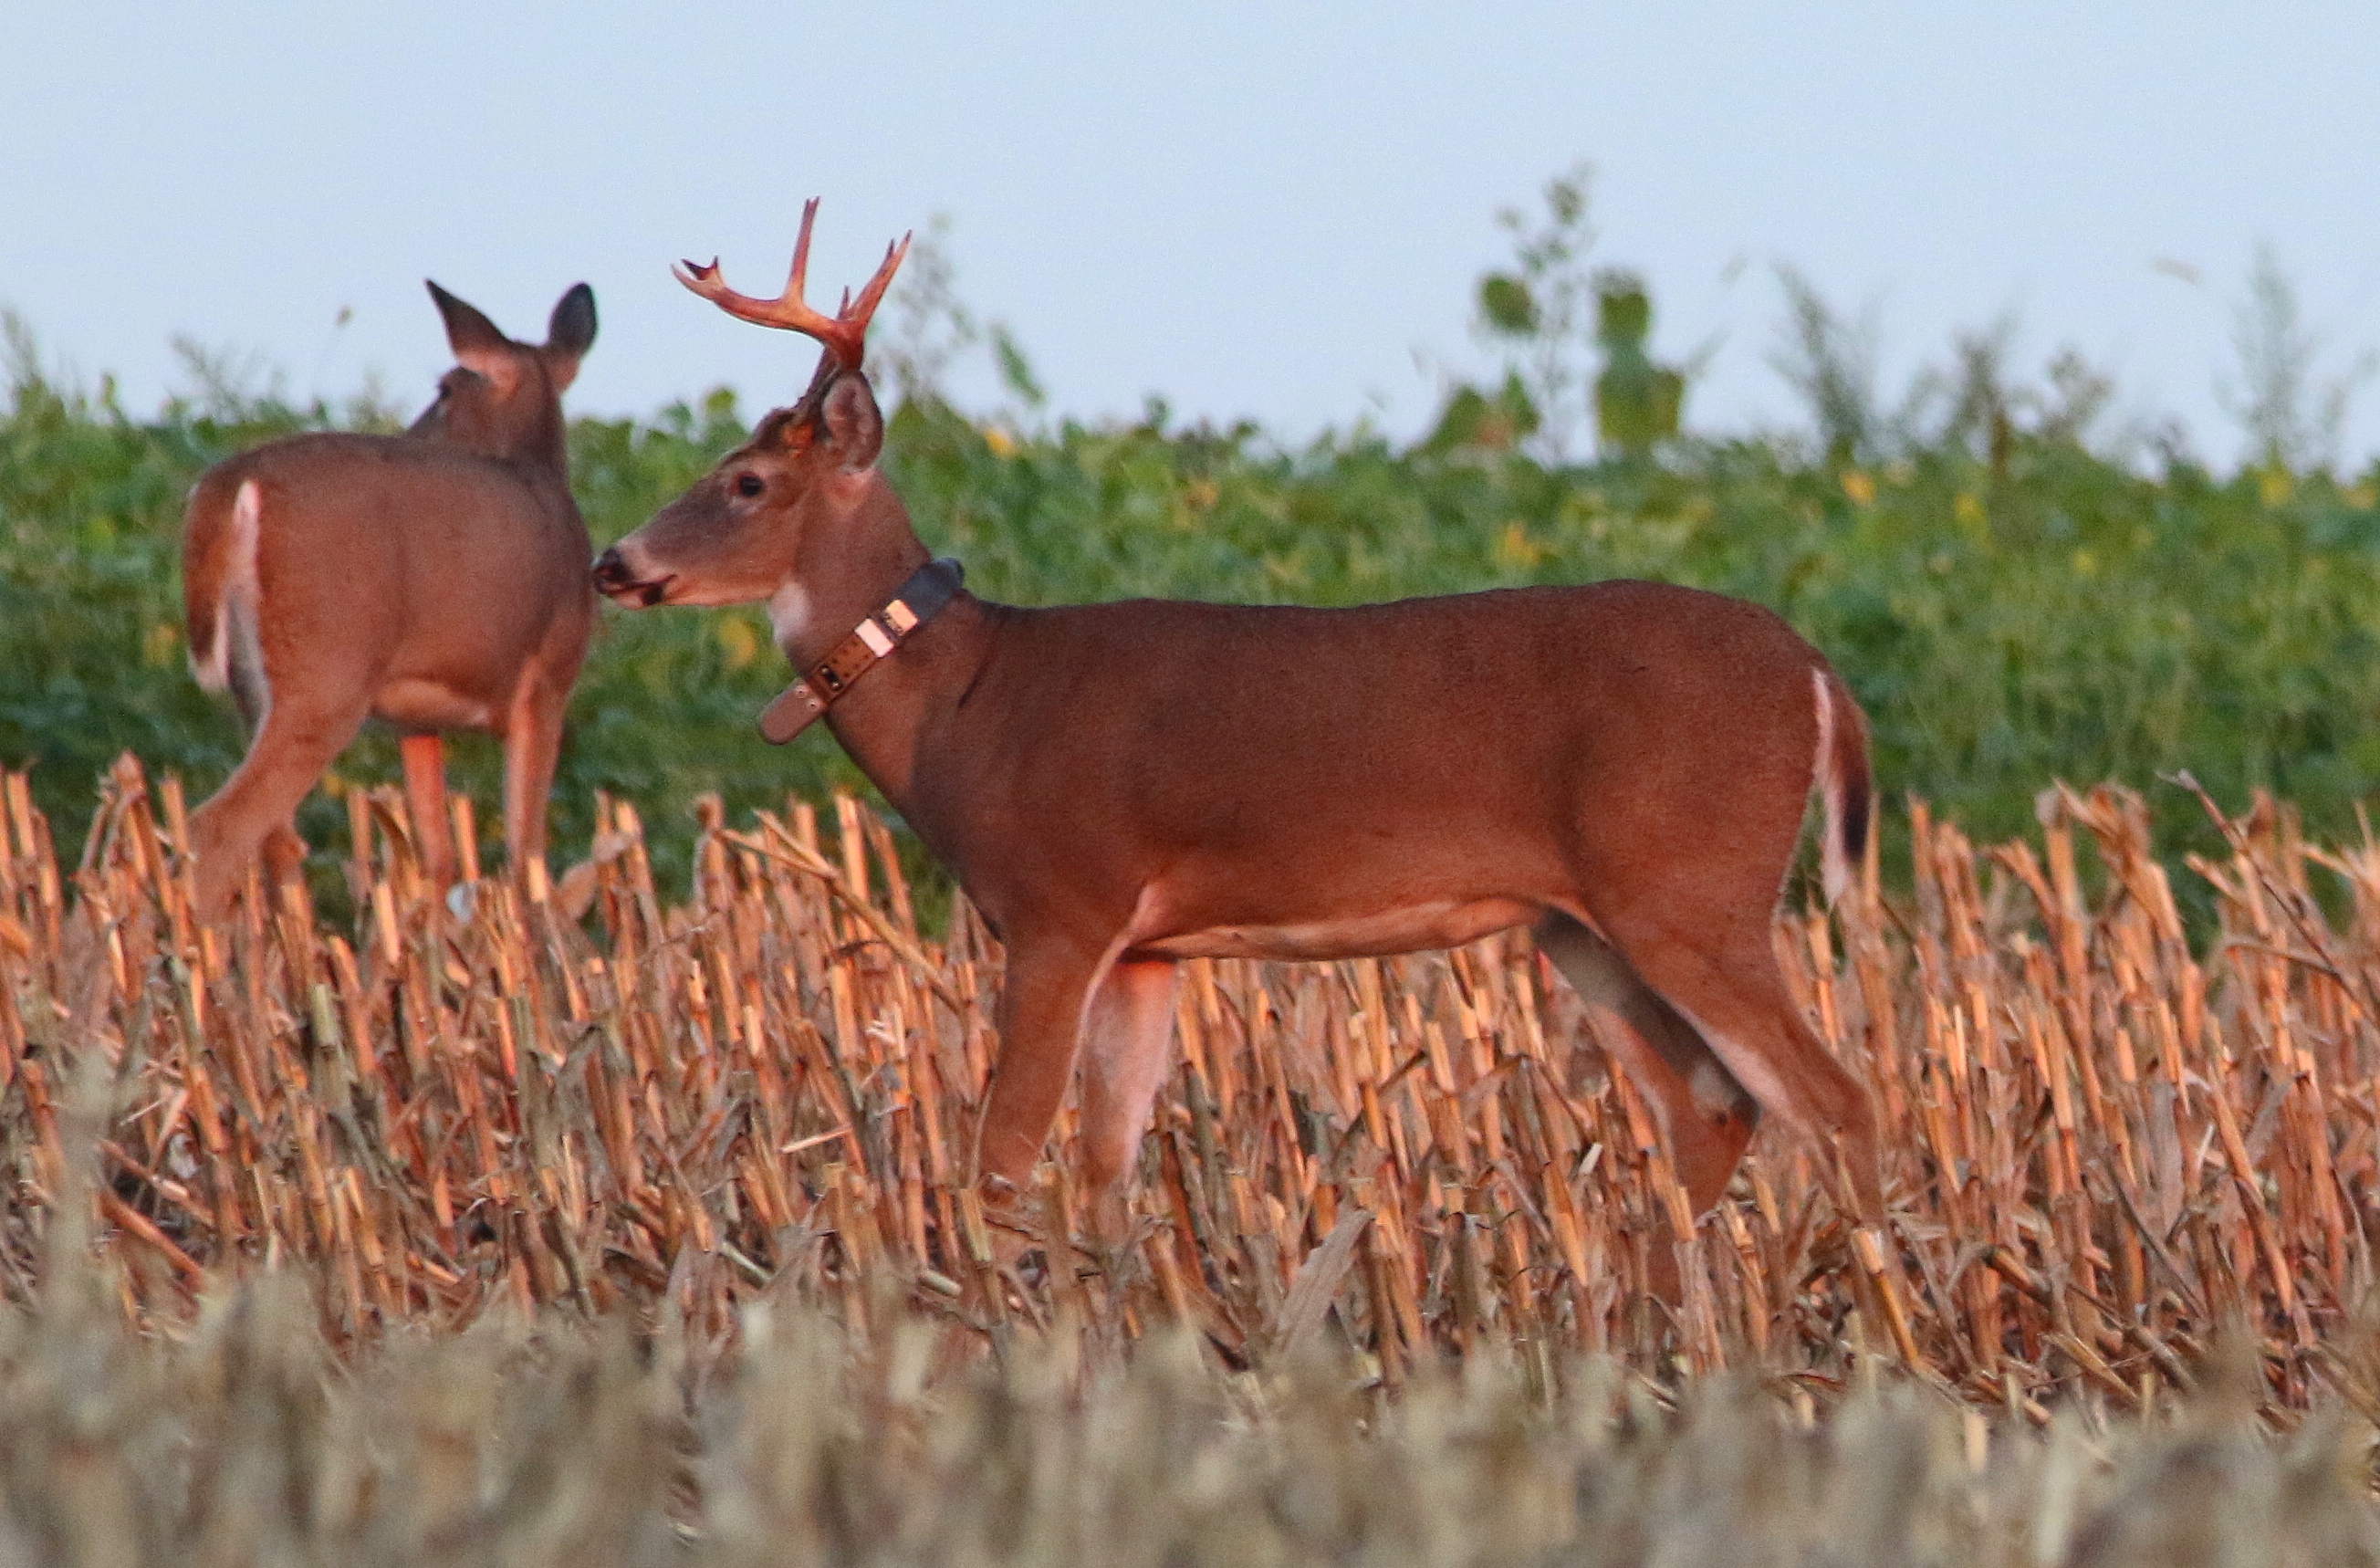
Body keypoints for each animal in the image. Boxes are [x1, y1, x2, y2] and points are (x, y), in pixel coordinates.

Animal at [181, 280, 598, 924]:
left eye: (444, 391)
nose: (411, 433)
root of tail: (230, 484)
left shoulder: (415, 720)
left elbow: (437, 857)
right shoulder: (546, 681)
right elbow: (525, 854)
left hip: (253, 686)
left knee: (276, 844)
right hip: (328, 668)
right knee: (220, 826)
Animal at [592, 202, 1884, 1249]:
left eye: (747, 482)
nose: (614, 562)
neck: (966, 702)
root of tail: (1819, 670)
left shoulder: (1062, 903)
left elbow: (1001, 1159)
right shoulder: (1147, 947)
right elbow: (1105, 1163)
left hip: (1691, 885)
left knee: (1833, 1100)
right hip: (1585, 922)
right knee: (1712, 1104)